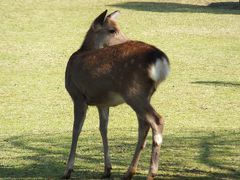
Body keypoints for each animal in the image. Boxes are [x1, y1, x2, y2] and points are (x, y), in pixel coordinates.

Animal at [62, 10, 170, 180]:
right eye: (112, 30)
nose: (127, 39)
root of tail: (160, 59)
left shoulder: (77, 95)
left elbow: (76, 129)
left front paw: (67, 170)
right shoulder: (102, 102)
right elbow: (103, 128)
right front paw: (107, 169)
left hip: (134, 92)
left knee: (157, 120)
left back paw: (151, 173)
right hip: (145, 94)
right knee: (144, 125)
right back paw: (129, 172)